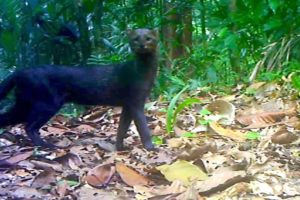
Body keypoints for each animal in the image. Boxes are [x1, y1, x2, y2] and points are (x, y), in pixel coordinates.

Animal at [0, 28, 159, 150]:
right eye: (136, 39)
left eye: (148, 38)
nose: (142, 45)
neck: (144, 71)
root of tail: (20, 72)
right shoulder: (135, 102)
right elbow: (143, 127)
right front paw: (151, 148)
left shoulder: (128, 104)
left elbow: (122, 127)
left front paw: (119, 147)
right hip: (46, 104)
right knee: (29, 126)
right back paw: (48, 145)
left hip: (24, 104)